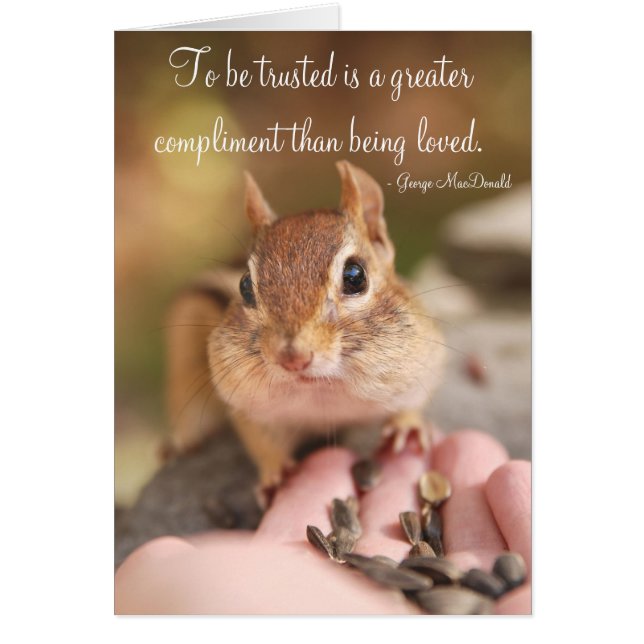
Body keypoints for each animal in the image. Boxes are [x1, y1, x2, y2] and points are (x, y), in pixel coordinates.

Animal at [164, 161, 445, 500]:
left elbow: (415, 399)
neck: (322, 390)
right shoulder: (245, 402)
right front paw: (275, 474)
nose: (292, 358)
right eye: (244, 286)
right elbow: (260, 440)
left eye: (355, 276)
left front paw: (408, 426)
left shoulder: (424, 359)